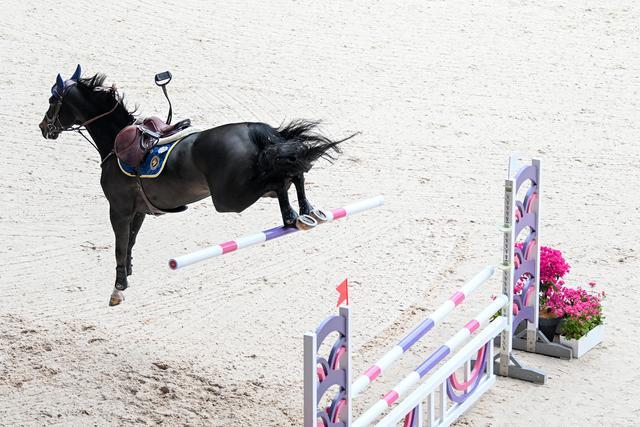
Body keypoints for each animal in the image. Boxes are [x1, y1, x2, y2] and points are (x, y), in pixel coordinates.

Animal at [38, 66, 352, 308]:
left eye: (53, 100)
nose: (43, 127)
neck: (116, 143)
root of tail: (254, 129)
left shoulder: (119, 209)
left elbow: (119, 246)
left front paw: (117, 288)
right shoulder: (138, 211)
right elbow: (130, 243)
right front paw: (127, 276)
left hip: (229, 199)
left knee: (283, 176)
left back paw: (293, 215)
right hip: (245, 188)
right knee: (291, 173)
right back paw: (305, 211)